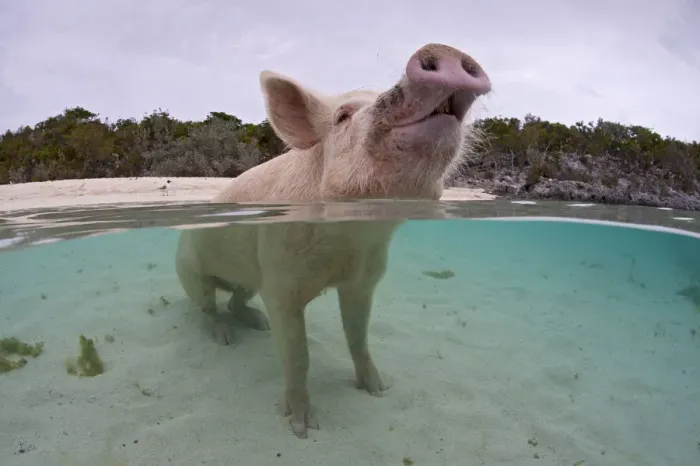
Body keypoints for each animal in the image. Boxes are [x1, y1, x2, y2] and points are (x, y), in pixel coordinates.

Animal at [175, 43, 491, 439]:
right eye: (342, 116)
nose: (443, 50)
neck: (349, 243)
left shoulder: (364, 279)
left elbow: (358, 337)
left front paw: (379, 390)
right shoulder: (280, 282)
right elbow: (298, 356)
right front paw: (303, 429)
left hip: (249, 278)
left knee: (235, 301)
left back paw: (258, 324)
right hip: (190, 271)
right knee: (208, 308)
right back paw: (225, 338)